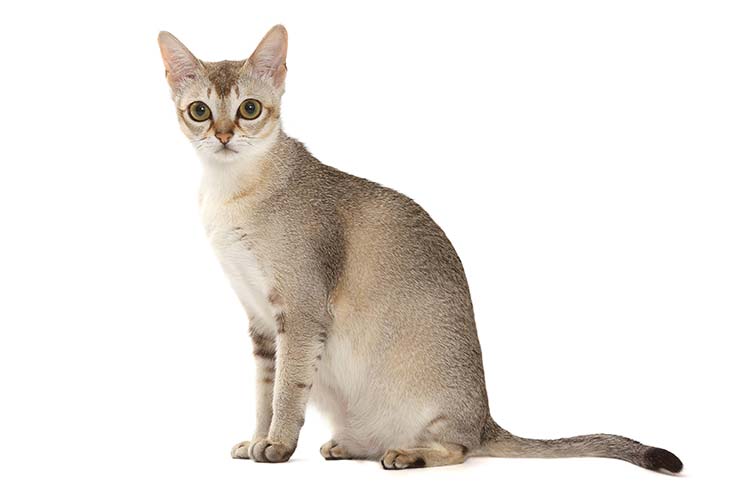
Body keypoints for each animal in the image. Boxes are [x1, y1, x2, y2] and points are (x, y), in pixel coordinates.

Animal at [157, 25, 682, 472]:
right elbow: (264, 393)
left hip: (437, 415)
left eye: (249, 109)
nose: (224, 136)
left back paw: (408, 455)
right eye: (200, 111)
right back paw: (349, 445)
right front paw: (257, 438)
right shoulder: (262, 323)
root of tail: (484, 419)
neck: (230, 193)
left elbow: (287, 390)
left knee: (460, 449)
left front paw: (278, 444)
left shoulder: (300, 312)